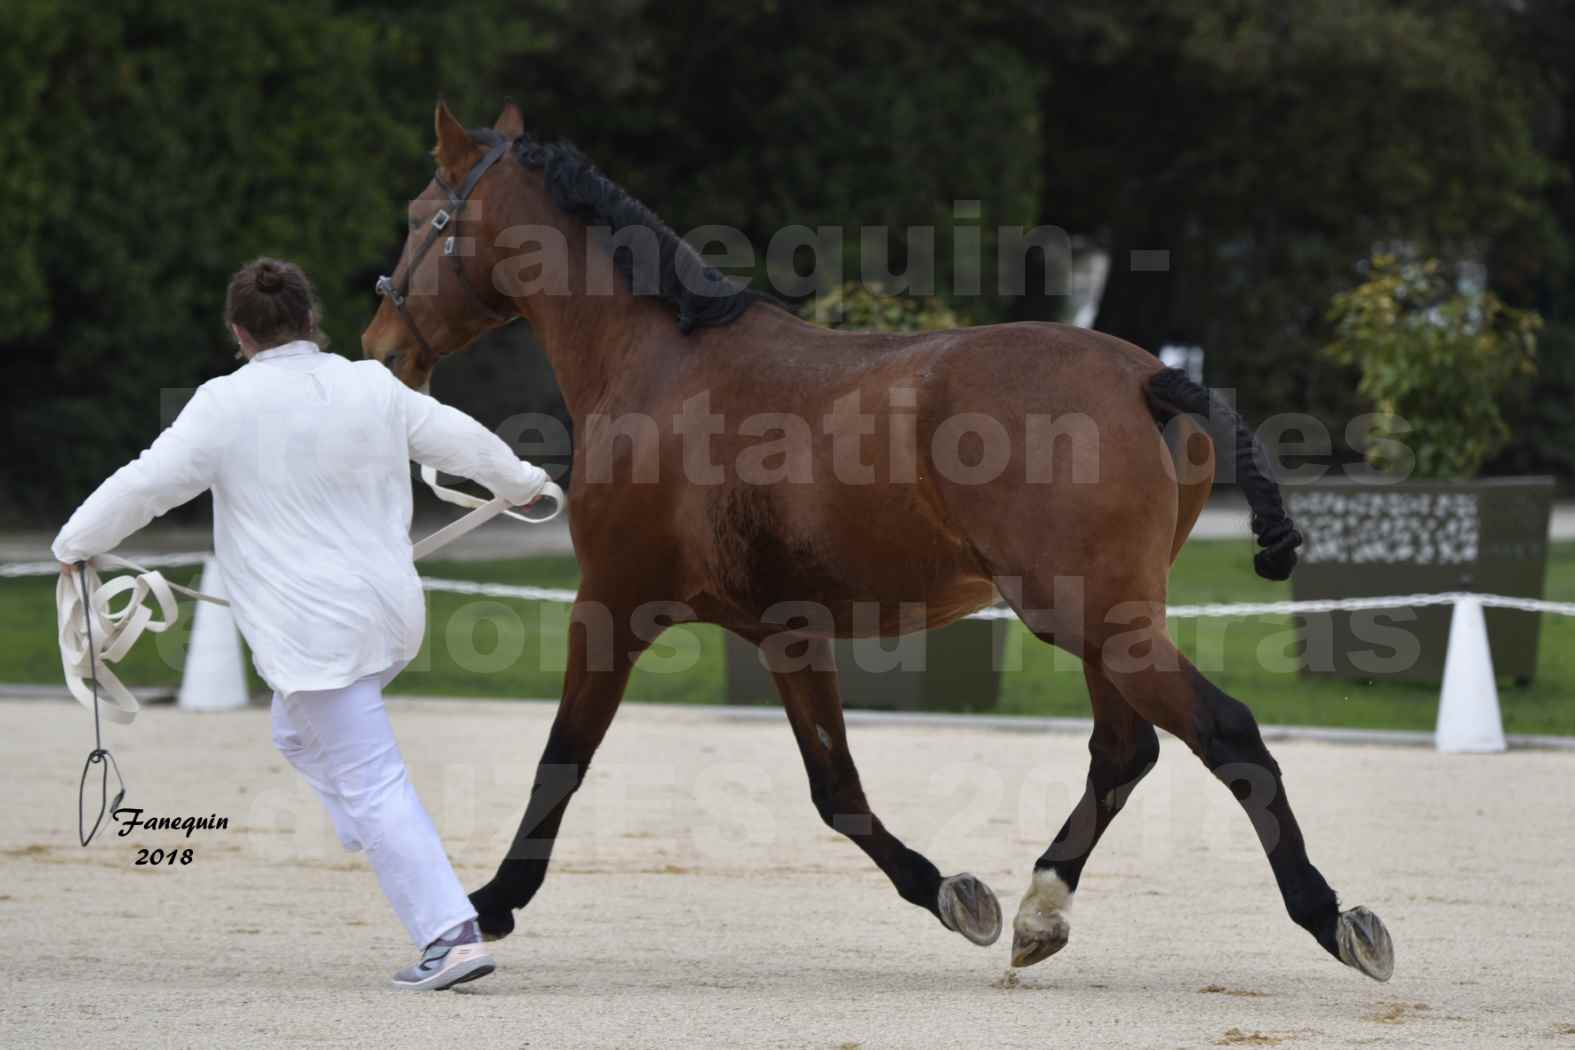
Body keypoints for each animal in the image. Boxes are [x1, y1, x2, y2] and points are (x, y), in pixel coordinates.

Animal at [360, 102, 1392, 982]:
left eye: (421, 216)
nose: (381, 346)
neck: (656, 365)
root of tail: (1147, 378)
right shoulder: (786, 632)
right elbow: (836, 789)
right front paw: (952, 896)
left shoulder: (611, 604)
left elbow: (562, 758)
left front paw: (493, 901)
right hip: (1110, 618)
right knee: (1123, 750)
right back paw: (1038, 911)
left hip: (1092, 616)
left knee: (1222, 733)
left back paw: (1334, 918)